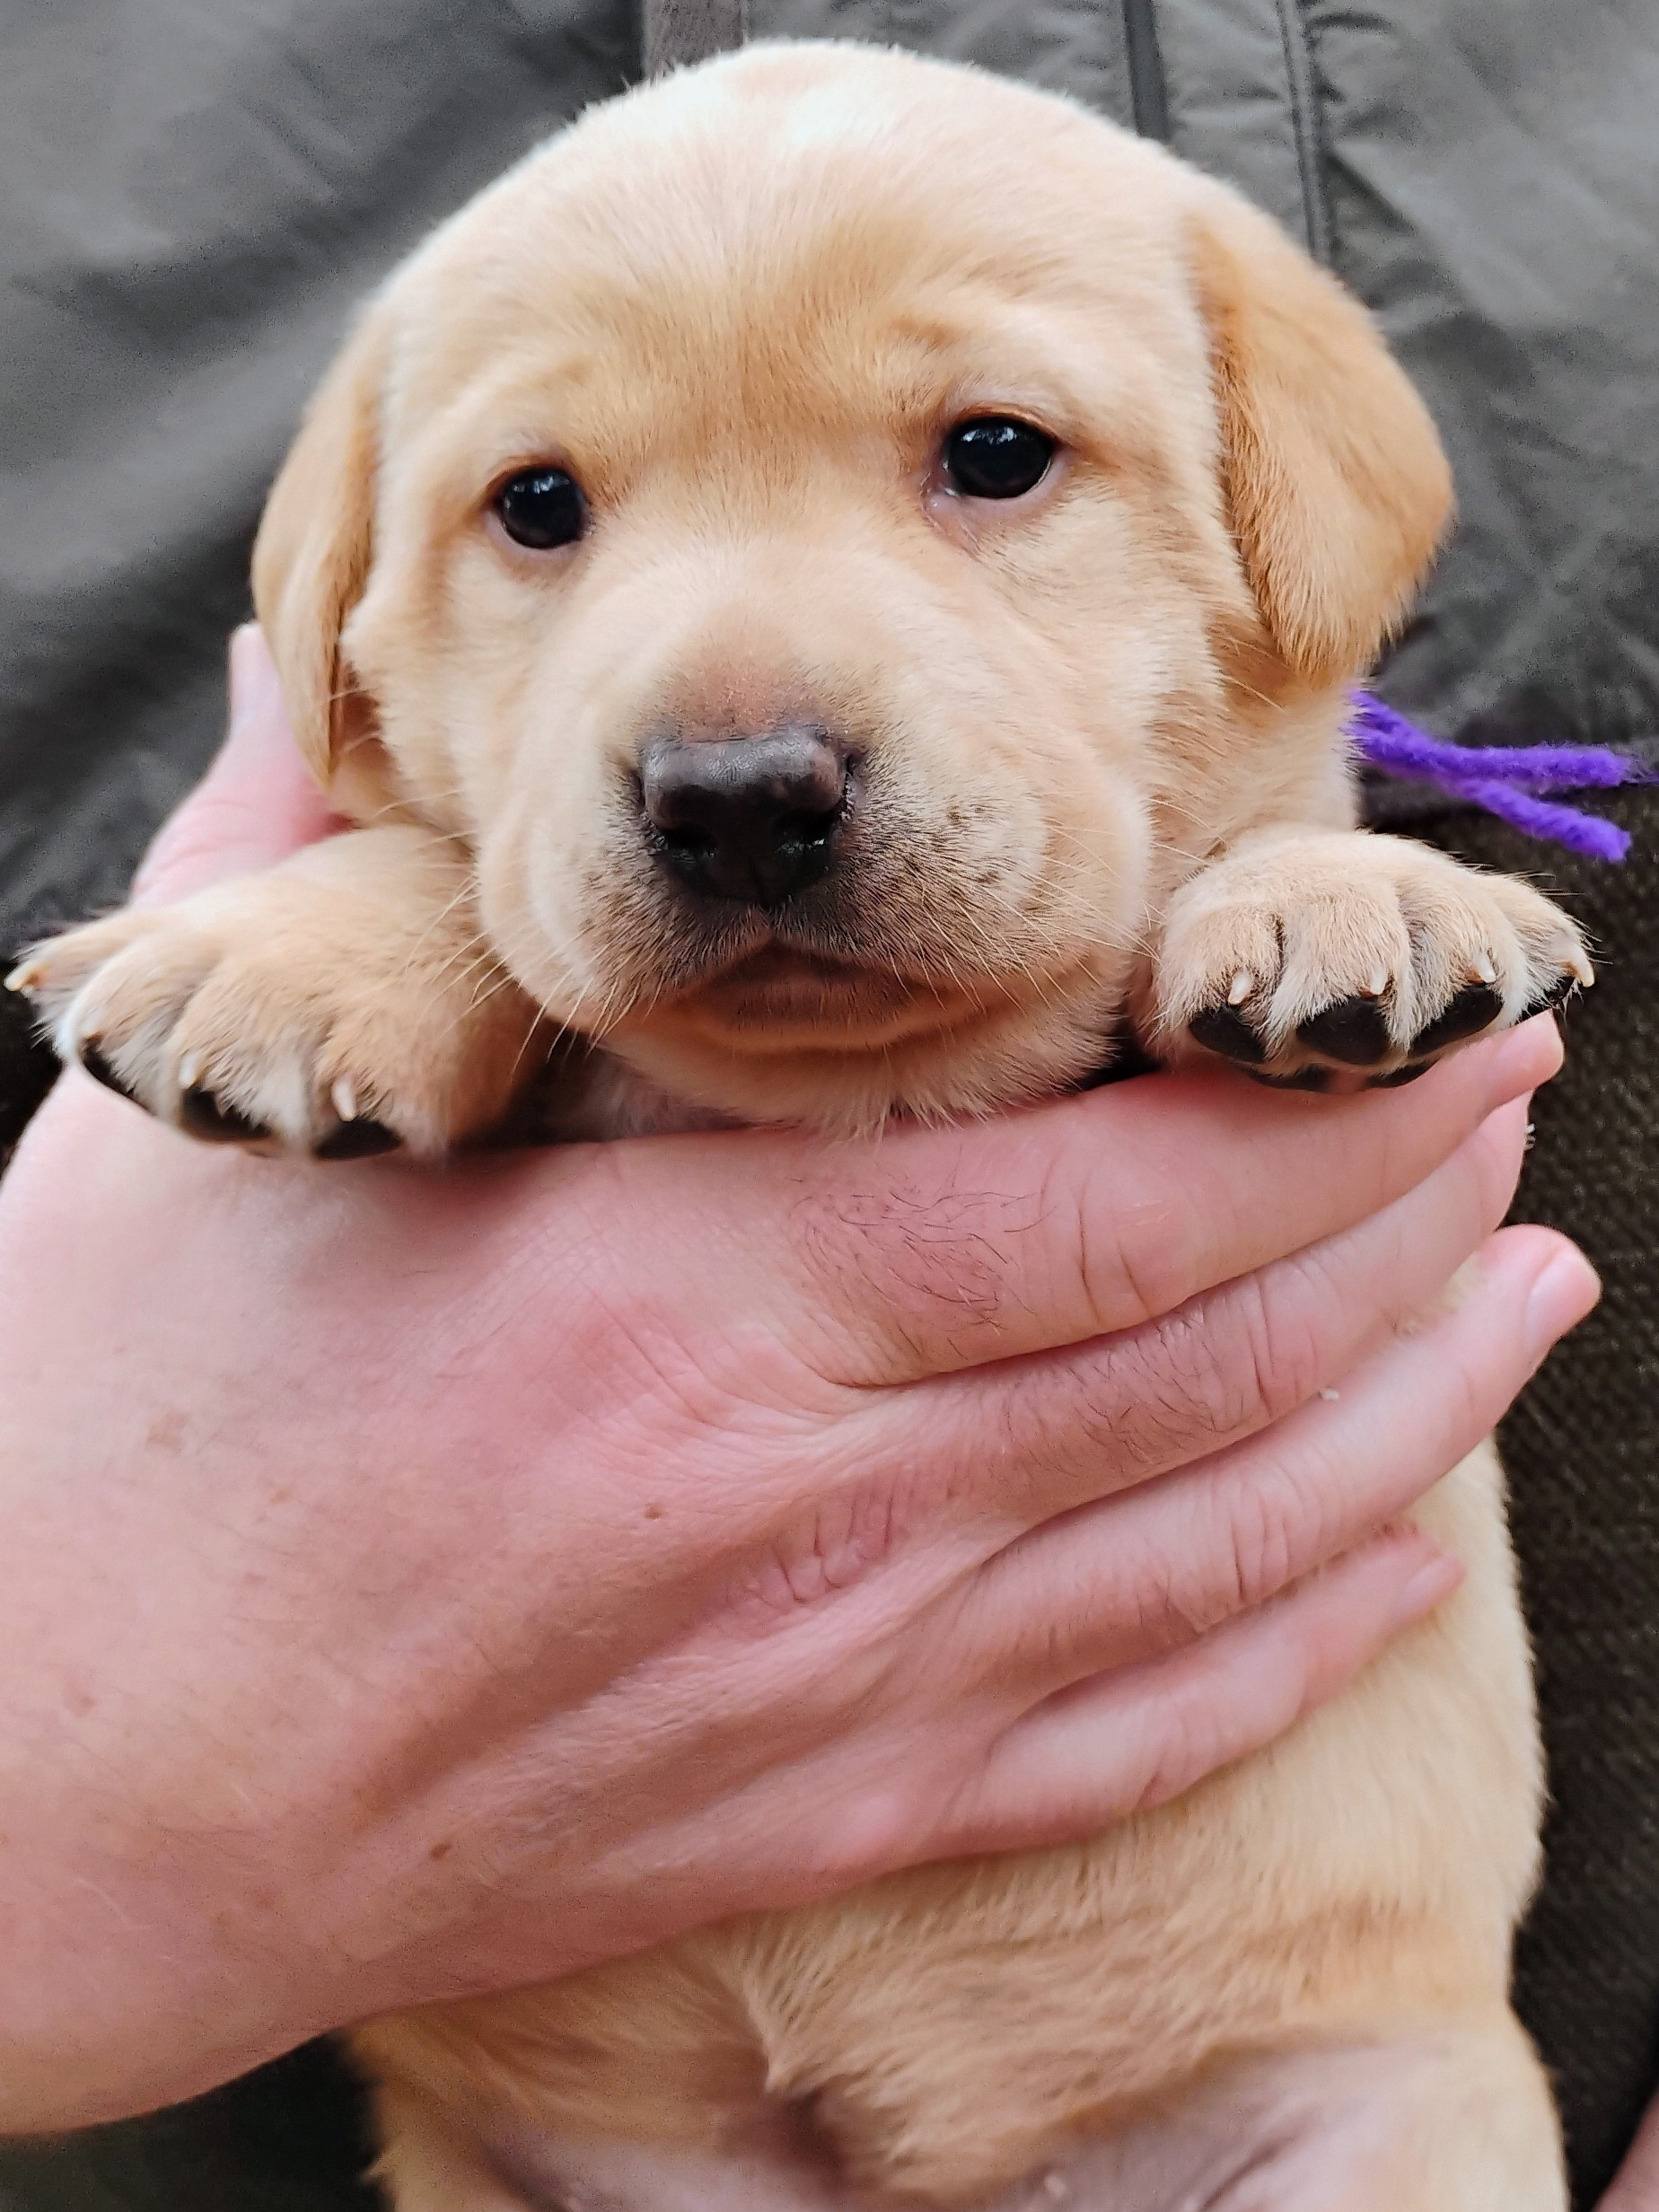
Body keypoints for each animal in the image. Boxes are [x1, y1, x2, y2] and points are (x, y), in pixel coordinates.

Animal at [22, 34, 1584, 2212]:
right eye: (534, 506)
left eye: (996, 454)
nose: (739, 792)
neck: (846, 1092)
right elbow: (452, 859)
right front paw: (287, 951)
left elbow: (1255, 824)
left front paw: (1352, 893)